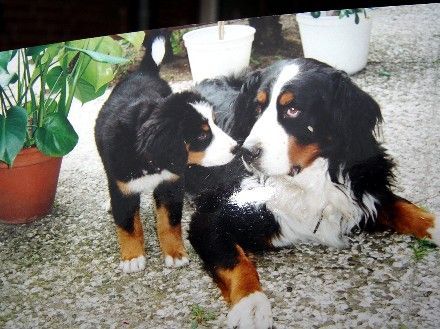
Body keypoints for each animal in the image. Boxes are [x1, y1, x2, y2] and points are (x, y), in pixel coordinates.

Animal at [93, 37, 237, 274]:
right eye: (201, 135)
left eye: (216, 123)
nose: (236, 148)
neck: (151, 163)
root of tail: (143, 71)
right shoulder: (124, 188)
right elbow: (128, 225)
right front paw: (132, 257)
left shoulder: (171, 184)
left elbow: (169, 223)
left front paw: (174, 253)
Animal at [187, 57, 438, 326]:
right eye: (258, 108)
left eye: (293, 109)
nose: (246, 152)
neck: (307, 180)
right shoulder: (211, 217)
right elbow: (236, 261)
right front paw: (251, 305)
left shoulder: (364, 186)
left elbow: (406, 208)